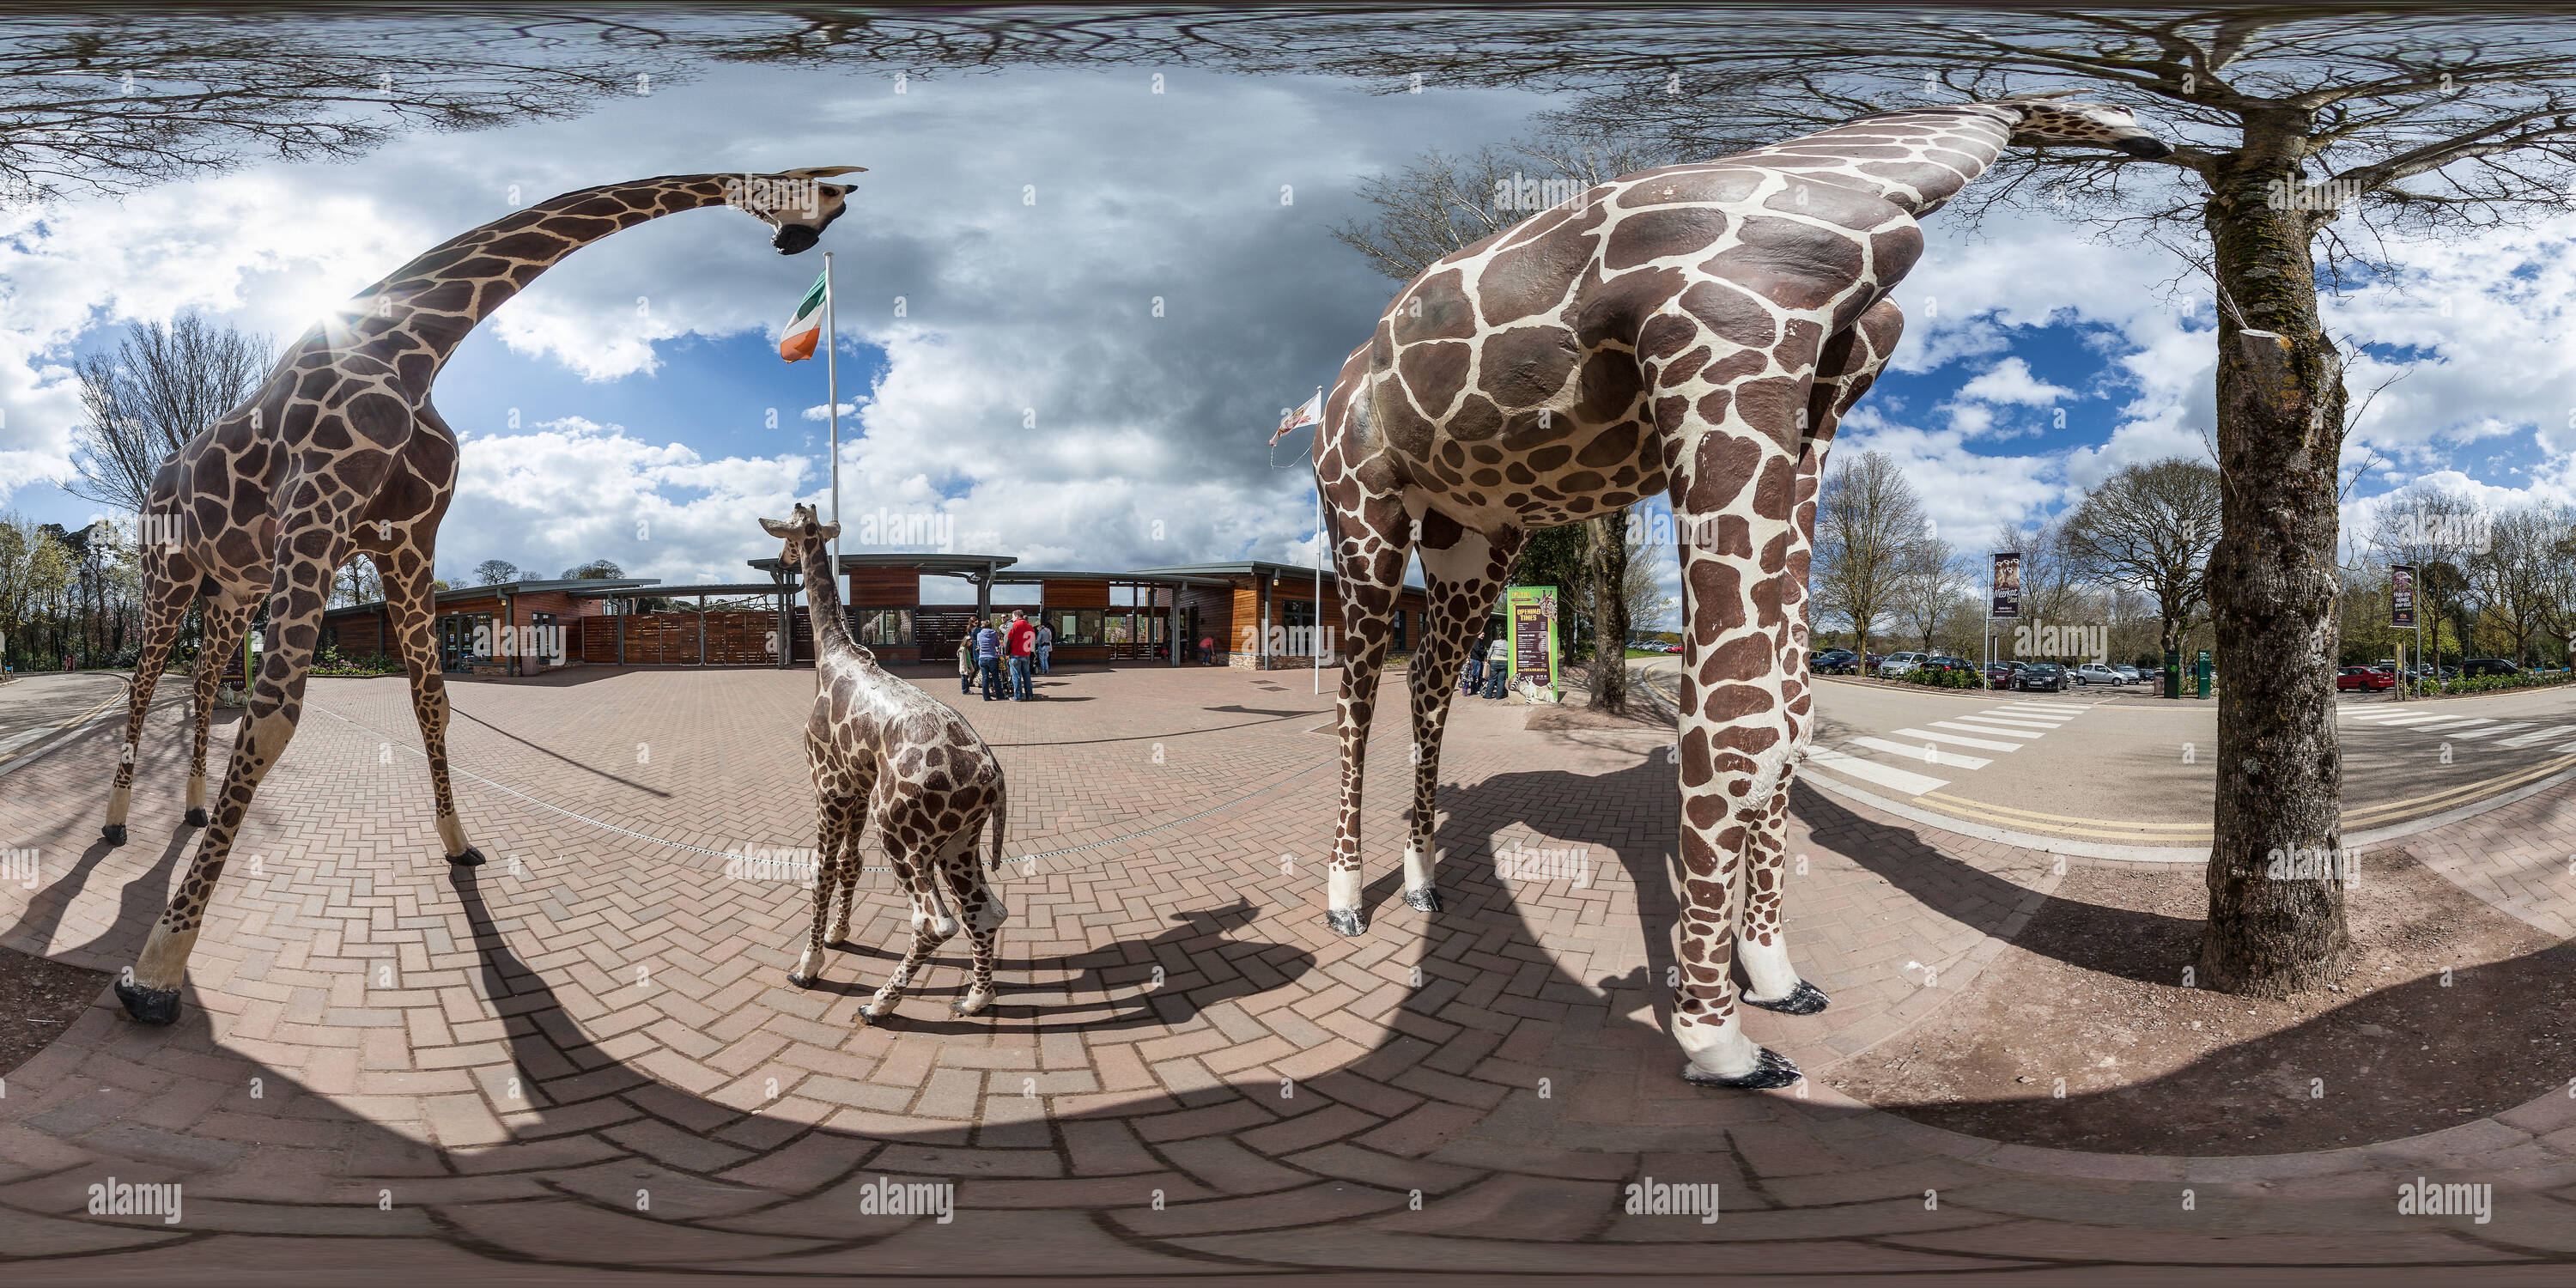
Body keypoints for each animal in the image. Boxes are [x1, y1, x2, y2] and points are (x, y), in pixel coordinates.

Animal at [106, 168, 871, 1025]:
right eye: (812, 191)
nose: (801, 237)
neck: (415, 350)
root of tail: (157, 482)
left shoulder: (407, 540)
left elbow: (431, 703)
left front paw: (458, 844)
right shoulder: (317, 511)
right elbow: (273, 718)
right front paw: (158, 969)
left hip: (231, 588)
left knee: (204, 683)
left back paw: (192, 805)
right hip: (168, 571)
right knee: (143, 683)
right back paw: (113, 827)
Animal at [757, 502, 1010, 1015]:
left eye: (789, 532)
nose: (782, 559)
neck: (830, 655)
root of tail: (994, 780)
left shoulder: (829, 785)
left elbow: (821, 871)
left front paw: (808, 965)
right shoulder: (855, 787)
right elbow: (850, 863)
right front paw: (837, 935)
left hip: (899, 830)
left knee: (936, 921)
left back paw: (879, 1004)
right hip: (959, 840)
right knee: (986, 911)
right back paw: (976, 998)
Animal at [1309, 95, 2174, 1092]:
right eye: (2122, 107)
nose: (2159, 135)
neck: (1860, 181)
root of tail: (1325, 397)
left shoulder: (1825, 388)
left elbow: (1792, 718)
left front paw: (1773, 977)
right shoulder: (1722, 339)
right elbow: (1736, 722)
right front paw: (1715, 1037)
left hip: (1475, 534)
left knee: (1429, 686)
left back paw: (1421, 882)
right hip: (1364, 508)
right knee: (1356, 695)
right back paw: (1345, 901)